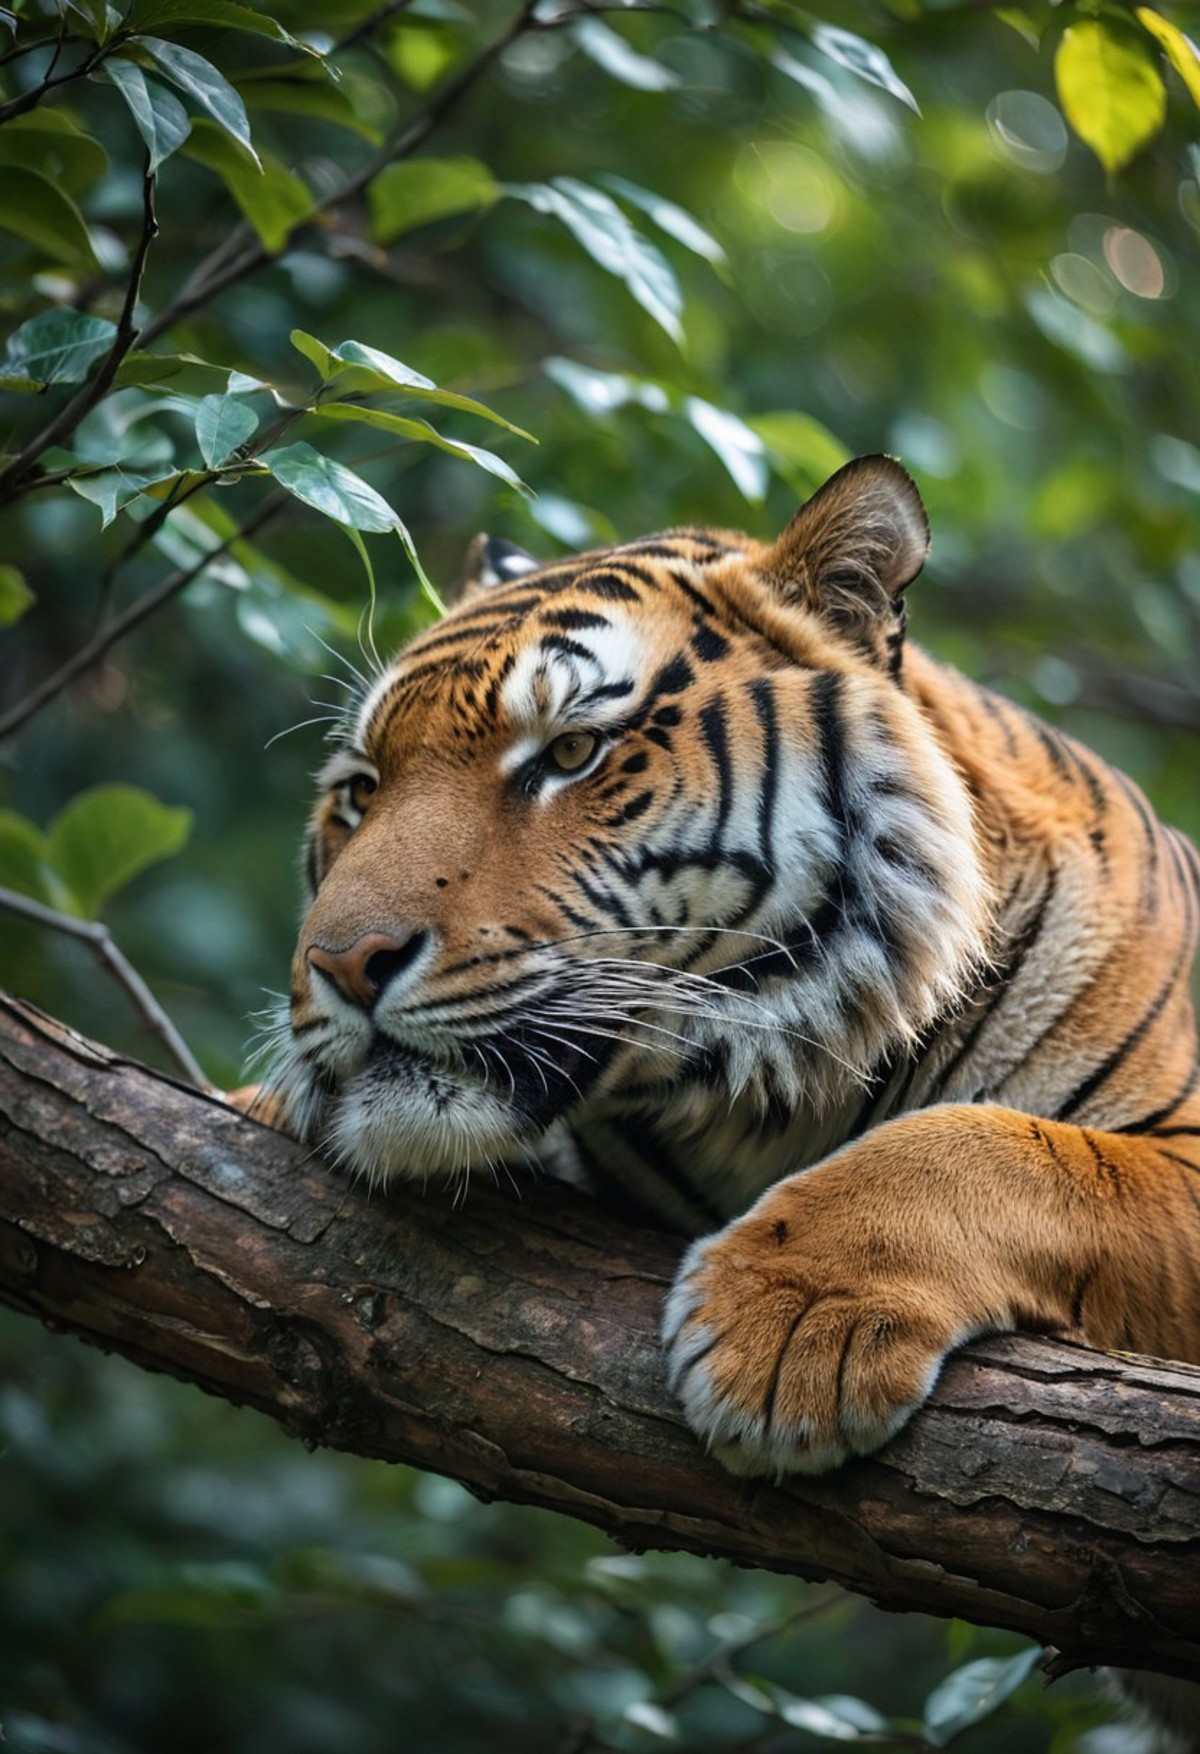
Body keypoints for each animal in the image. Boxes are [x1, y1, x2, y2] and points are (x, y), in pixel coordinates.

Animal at [257, 452, 1200, 1739]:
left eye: (571, 754)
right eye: (359, 790)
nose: (342, 964)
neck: (772, 1102)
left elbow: (1004, 1143)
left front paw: (790, 1322)